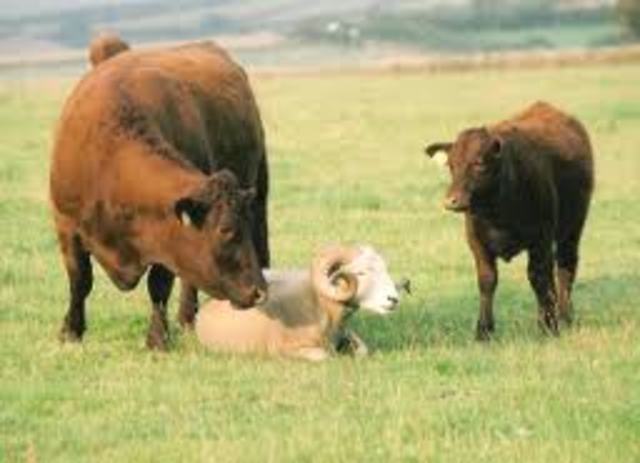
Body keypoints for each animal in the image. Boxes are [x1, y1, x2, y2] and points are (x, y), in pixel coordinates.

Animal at [50, 38, 270, 350]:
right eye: (225, 230)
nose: (259, 291)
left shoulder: (165, 234)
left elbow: (159, 285)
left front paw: (157, 338)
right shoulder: (66, 226)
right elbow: (80, 280)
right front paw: (71, 331)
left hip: (260, 190)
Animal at [425, 101, 594, 340]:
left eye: (479, 163)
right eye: (451, 165)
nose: (451, 201)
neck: (497, 214)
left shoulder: (541, 239)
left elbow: (538, 278)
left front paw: (548, 325)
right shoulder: (477, 243)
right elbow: (487, 281)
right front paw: (483, 331)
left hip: (572, 228)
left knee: (565, 268)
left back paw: (565, 316)